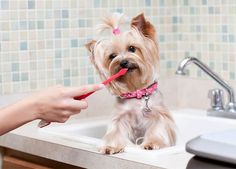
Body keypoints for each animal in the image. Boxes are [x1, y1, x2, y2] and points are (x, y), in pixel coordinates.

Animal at [85, 13, 176, 154]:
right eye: (112, 56)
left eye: (132, 48)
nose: (123, 62)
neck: (137, 92)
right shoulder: (120, 117)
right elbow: (115, 132)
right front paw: (111, 146)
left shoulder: (158, 114)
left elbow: (157, 128)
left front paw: (152, 143)